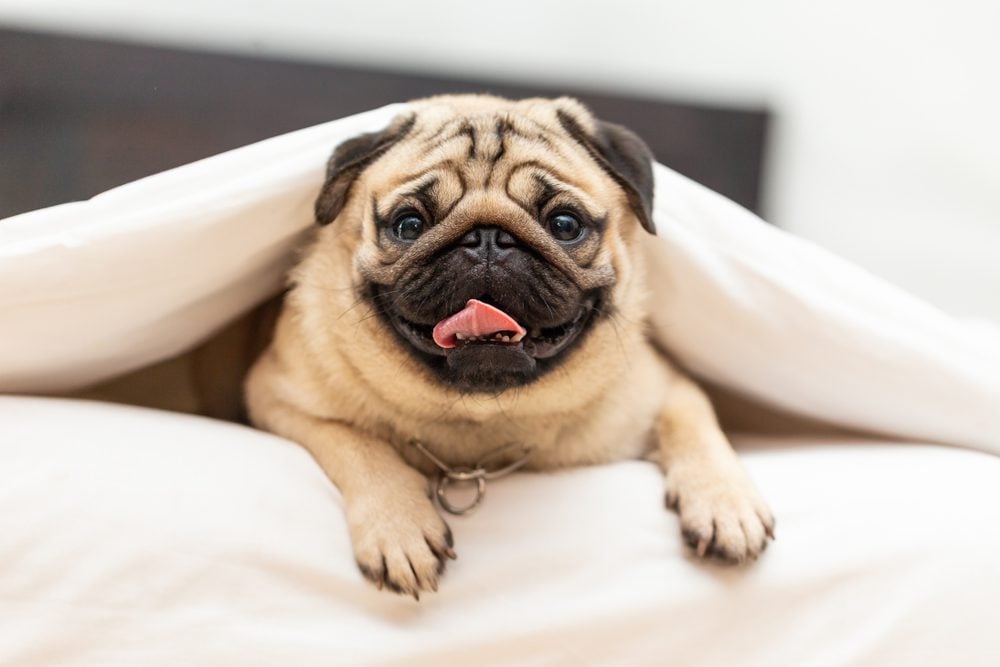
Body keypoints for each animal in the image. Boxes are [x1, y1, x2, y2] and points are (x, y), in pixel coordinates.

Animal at [242, 92, 772, 596]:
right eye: (409, 225)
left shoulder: (663, 390)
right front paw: (399, 526)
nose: (488, 239)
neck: (482, 416)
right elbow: (357, 443)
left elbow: (694, 418)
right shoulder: (276, 398)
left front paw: (725, 503)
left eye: (564, 224)